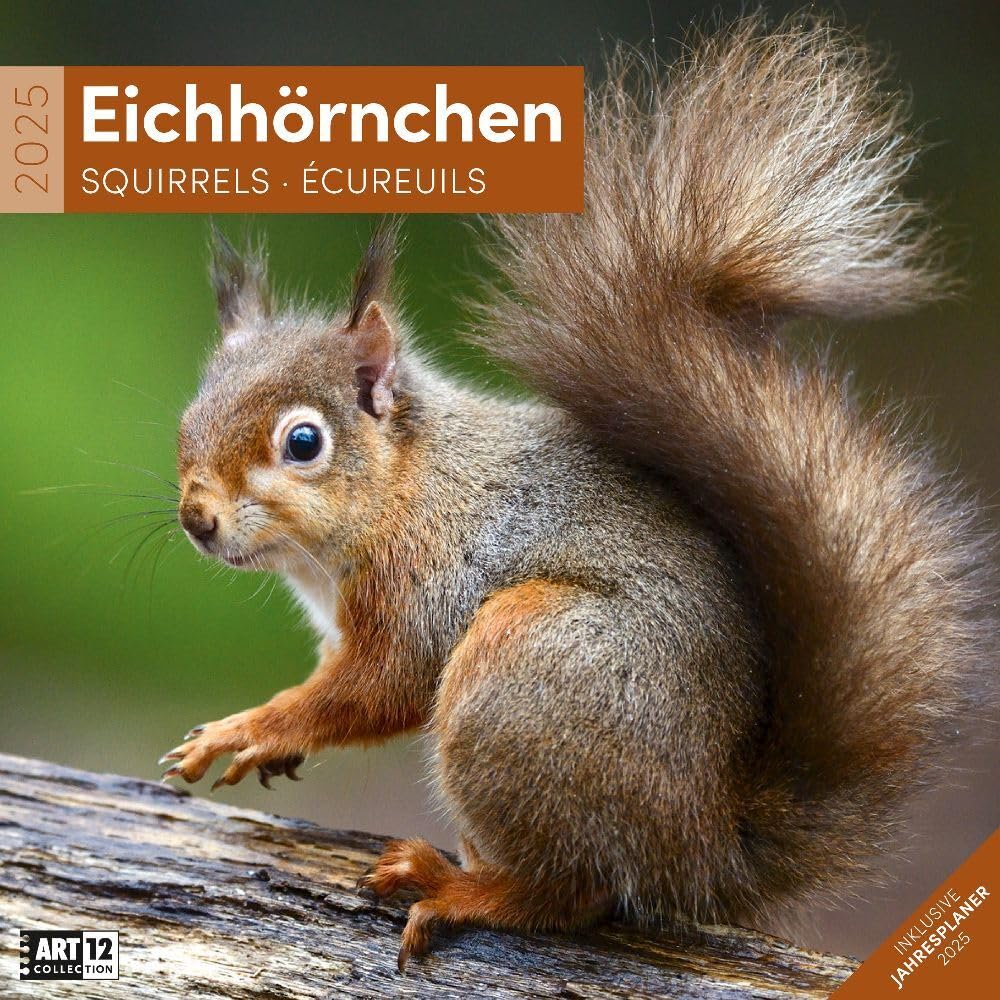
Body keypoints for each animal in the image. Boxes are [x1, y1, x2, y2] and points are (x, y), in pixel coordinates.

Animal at [160, 15, 992, 969]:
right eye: (189, 415)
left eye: (303, 443)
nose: (196, 517)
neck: (401, 492)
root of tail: (702, 848)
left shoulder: (425, 583)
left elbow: (377, 688)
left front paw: (251, 727)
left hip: (528, 671)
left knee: (576, 892)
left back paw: (458, 887)